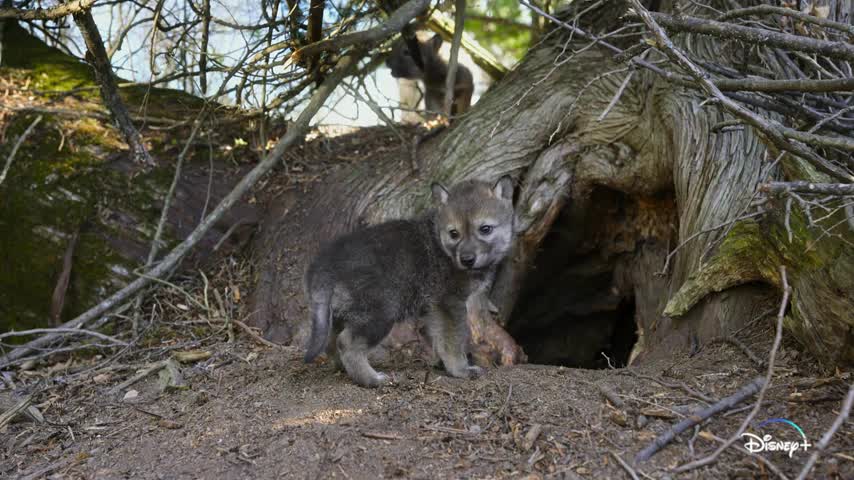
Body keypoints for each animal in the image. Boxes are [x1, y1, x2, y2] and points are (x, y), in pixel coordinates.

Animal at [303, 176, 515, 387]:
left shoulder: (433, 309)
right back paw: (372, 379)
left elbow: (438, 339)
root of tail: (325, 264)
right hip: (380, 313)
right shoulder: (450, 303)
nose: (467, 260)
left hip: (341, 313)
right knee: (347, 343)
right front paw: (460, 370)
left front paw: (441, 364)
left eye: (485, 229)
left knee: (331, 341)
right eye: (454, 233)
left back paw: (343, 369)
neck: (439, 240)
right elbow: (454, 340)